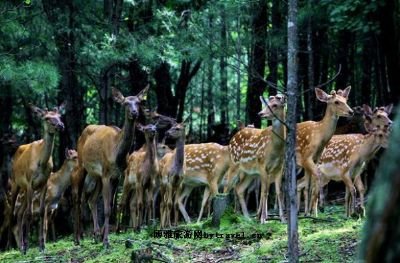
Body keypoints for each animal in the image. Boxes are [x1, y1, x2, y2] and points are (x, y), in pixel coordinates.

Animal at [7, 103, 64, 254]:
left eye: (59, 116)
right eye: (47, 118)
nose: (61, 125)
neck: (41, 163)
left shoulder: (43, 183)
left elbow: (41, 212)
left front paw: (42, 246)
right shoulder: (29, 182)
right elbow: (30, 214)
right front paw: (27, 246)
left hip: (25, 190)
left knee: (20, 213)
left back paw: (20, 246)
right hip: (16, 184)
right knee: (13, 212)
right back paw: (13, 247)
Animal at [70, 86, 148, 248]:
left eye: (138, 102)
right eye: (125, 103)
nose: (134, 113)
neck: (117, 154)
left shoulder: (117, 176)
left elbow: (111, 206)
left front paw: (103, 237)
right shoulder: (106, 173)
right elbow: (106, 209)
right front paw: (106, 241)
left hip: (96, 175)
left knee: (91, 200)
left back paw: (95, 235)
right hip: (82, 166)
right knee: (77, 199)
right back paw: (77, 238)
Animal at [225, 94, 288, 223]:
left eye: (275, 105)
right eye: (265, 104)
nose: (260, 113)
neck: (275, 148)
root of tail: (232, 137)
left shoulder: (279, 168)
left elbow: (278, 192)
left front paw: (283, 219)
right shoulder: (263, 165)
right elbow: (264, 191)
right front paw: (263, 219)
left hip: (250, 172)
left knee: (239, 188)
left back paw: (247, 217)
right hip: (234, 164)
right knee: (226, 187)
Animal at [294, 87, 354, 217]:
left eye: (346, 100)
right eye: (336, 102)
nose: (351, 112)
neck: (320, 135)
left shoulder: (314, 159)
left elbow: (309, 186)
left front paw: (308, 213)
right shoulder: (306, 157)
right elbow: (317, 177)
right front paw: (321, 207)